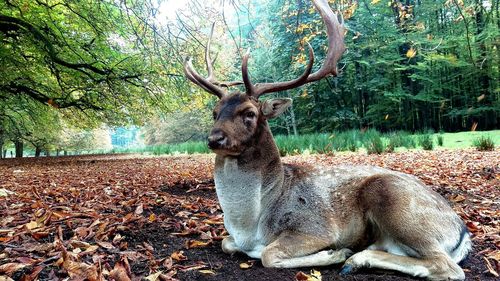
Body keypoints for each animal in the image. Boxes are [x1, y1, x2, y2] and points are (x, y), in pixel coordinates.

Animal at [182, 0, 470, 278]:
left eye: (249, 113)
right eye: (215, 112)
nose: (214, 138)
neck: (249, 226)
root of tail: (462, 231)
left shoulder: (315, 227)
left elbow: (268, 254)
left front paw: (333, 253)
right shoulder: (234, 238)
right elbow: (225, 242)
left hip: (396, 202)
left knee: (447, 266)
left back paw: (352, 258)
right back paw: (359, 258)